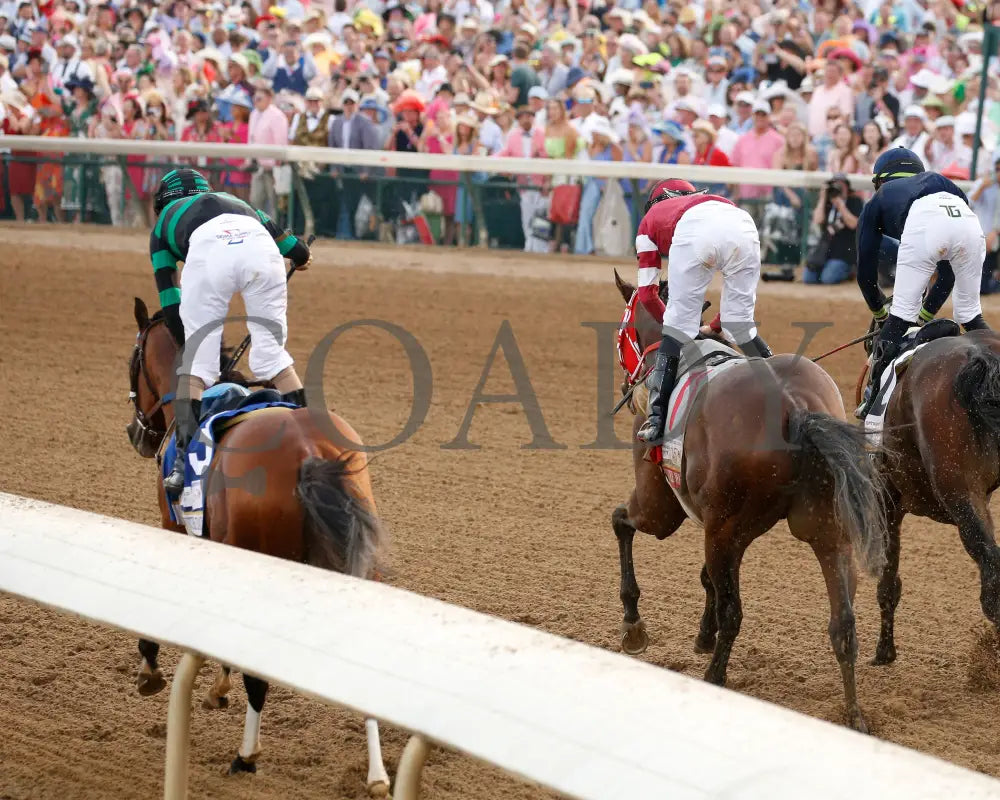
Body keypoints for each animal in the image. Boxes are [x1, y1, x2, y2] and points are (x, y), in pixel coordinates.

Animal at [125, 296, 390, 792]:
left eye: (132, 361)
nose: (135, 433)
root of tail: (309, 453)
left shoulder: (176, 530)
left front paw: (152, 667)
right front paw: (216, 685)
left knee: (260, 675)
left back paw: (246, 755)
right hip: (360, 564)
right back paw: (378, 775)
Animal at [612, 274, 888, 732]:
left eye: (622, 330)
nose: (626, 388)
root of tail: (796, 406)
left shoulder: (664, 509)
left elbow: (622, 523)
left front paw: (634, 625)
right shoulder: (720, 527)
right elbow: (709, 578)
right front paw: (701, 635)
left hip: (724, 527)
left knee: (734, 613)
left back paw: (714, 679)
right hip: (828, 533)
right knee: (844, 624)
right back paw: (853, 714)